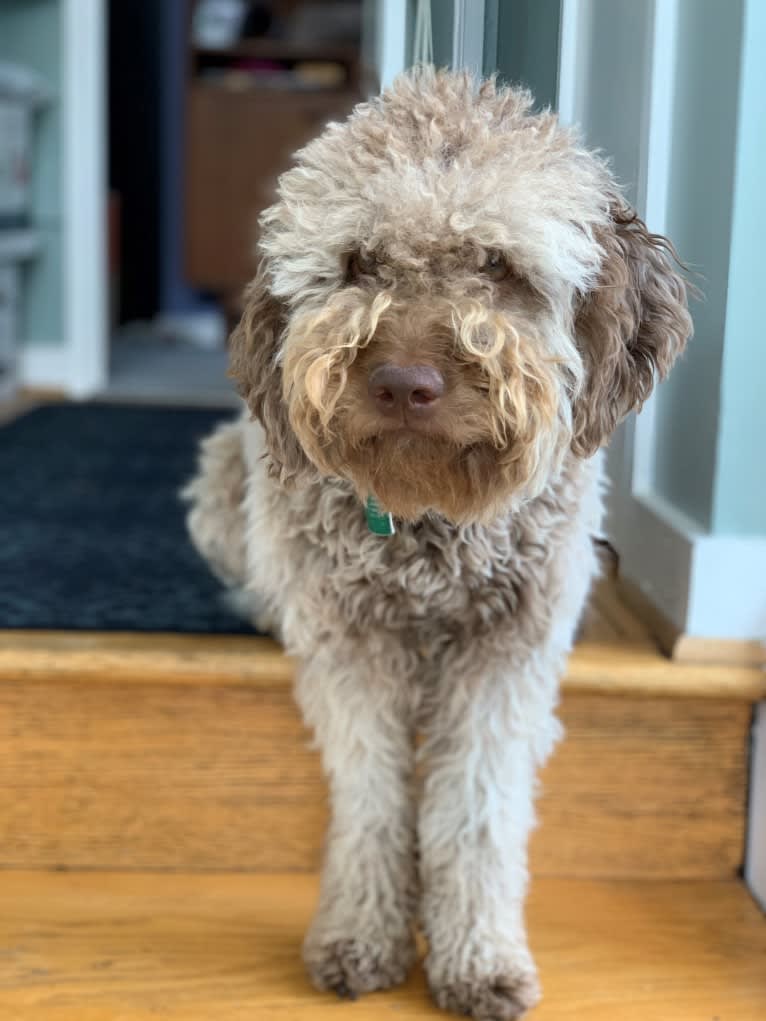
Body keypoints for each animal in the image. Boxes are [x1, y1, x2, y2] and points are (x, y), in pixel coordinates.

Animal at [182, 67, 694, 1016]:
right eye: (357, 263)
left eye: (497, 266)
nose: (403, 382)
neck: (428, 525)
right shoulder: (352, 649)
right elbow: (372, 798)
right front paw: (361, 930)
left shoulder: (508, 655)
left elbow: (477, 811)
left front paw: (478, 953)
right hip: (225, 479)